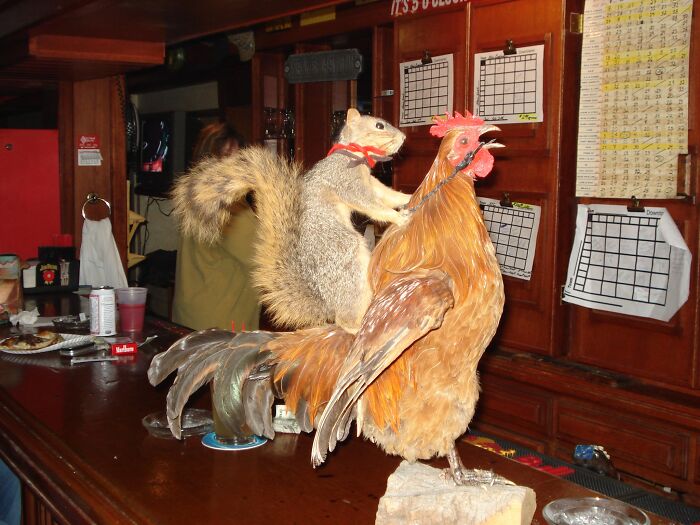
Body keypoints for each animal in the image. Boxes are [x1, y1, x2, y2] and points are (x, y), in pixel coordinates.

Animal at [172, 108, 411, 332]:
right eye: (379, 125)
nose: (404, 137)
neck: (354, 156)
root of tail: (327, 304)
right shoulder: (345, 181)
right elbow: (370, 204)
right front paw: (397, 217)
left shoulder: (371, 183)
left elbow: (386, 194)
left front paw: (407, 198)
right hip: (345, 254)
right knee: (345, 319)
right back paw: (358, 324)